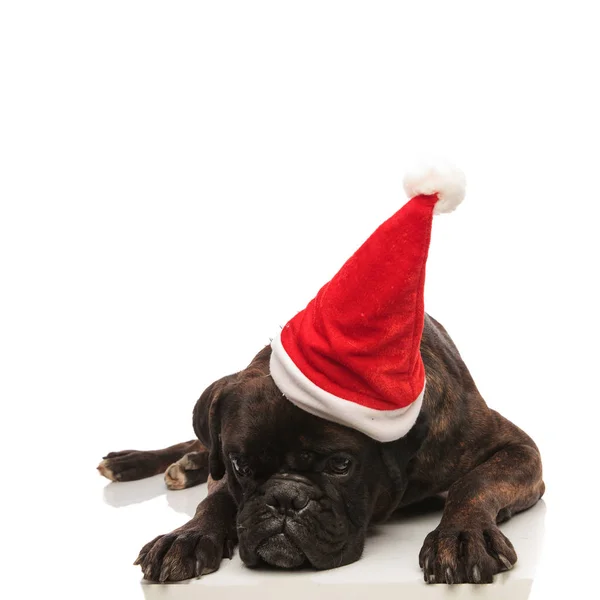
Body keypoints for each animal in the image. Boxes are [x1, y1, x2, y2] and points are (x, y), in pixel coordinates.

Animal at [97, 312, 544, 584]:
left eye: (341, 465)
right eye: (241, 466)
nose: (284, 498)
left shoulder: (516, 448)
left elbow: (474, 485)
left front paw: (462, 534)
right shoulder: (223, 464)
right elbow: (216, 498)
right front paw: (187, 536)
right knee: (199, 446)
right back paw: (140, 462)